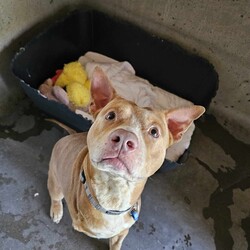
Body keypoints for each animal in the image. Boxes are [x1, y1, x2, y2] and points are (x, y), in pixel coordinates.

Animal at [47, 67, 205, 250]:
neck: (114, 191)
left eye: (154, 132)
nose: (124, 139)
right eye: (111, 115)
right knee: (55, 197)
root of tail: (70, 136)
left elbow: (116, 243)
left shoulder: (122, 232)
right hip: (55, 181)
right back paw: (56, 210)